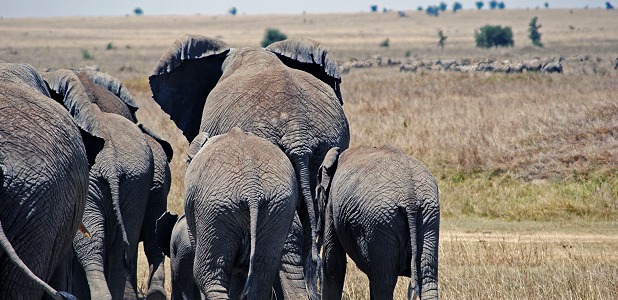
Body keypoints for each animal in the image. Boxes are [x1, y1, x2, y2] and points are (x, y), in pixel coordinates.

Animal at [316, 147, 440, 300]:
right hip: (428, 214)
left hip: (380, 222)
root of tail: (409, 196)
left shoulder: (331, 206)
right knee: (427, 278)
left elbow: (333, 265)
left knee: (384, 282)